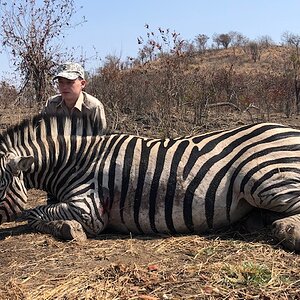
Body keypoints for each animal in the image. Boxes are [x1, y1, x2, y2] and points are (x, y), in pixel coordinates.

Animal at [0, 114, 300, 251]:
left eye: (0, 186)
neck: (73, 161)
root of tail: (290, 130)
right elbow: (35, 212)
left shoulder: (89, 208)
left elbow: (33, 213)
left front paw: (68, 229)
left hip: (264, 176)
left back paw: (287, 231)